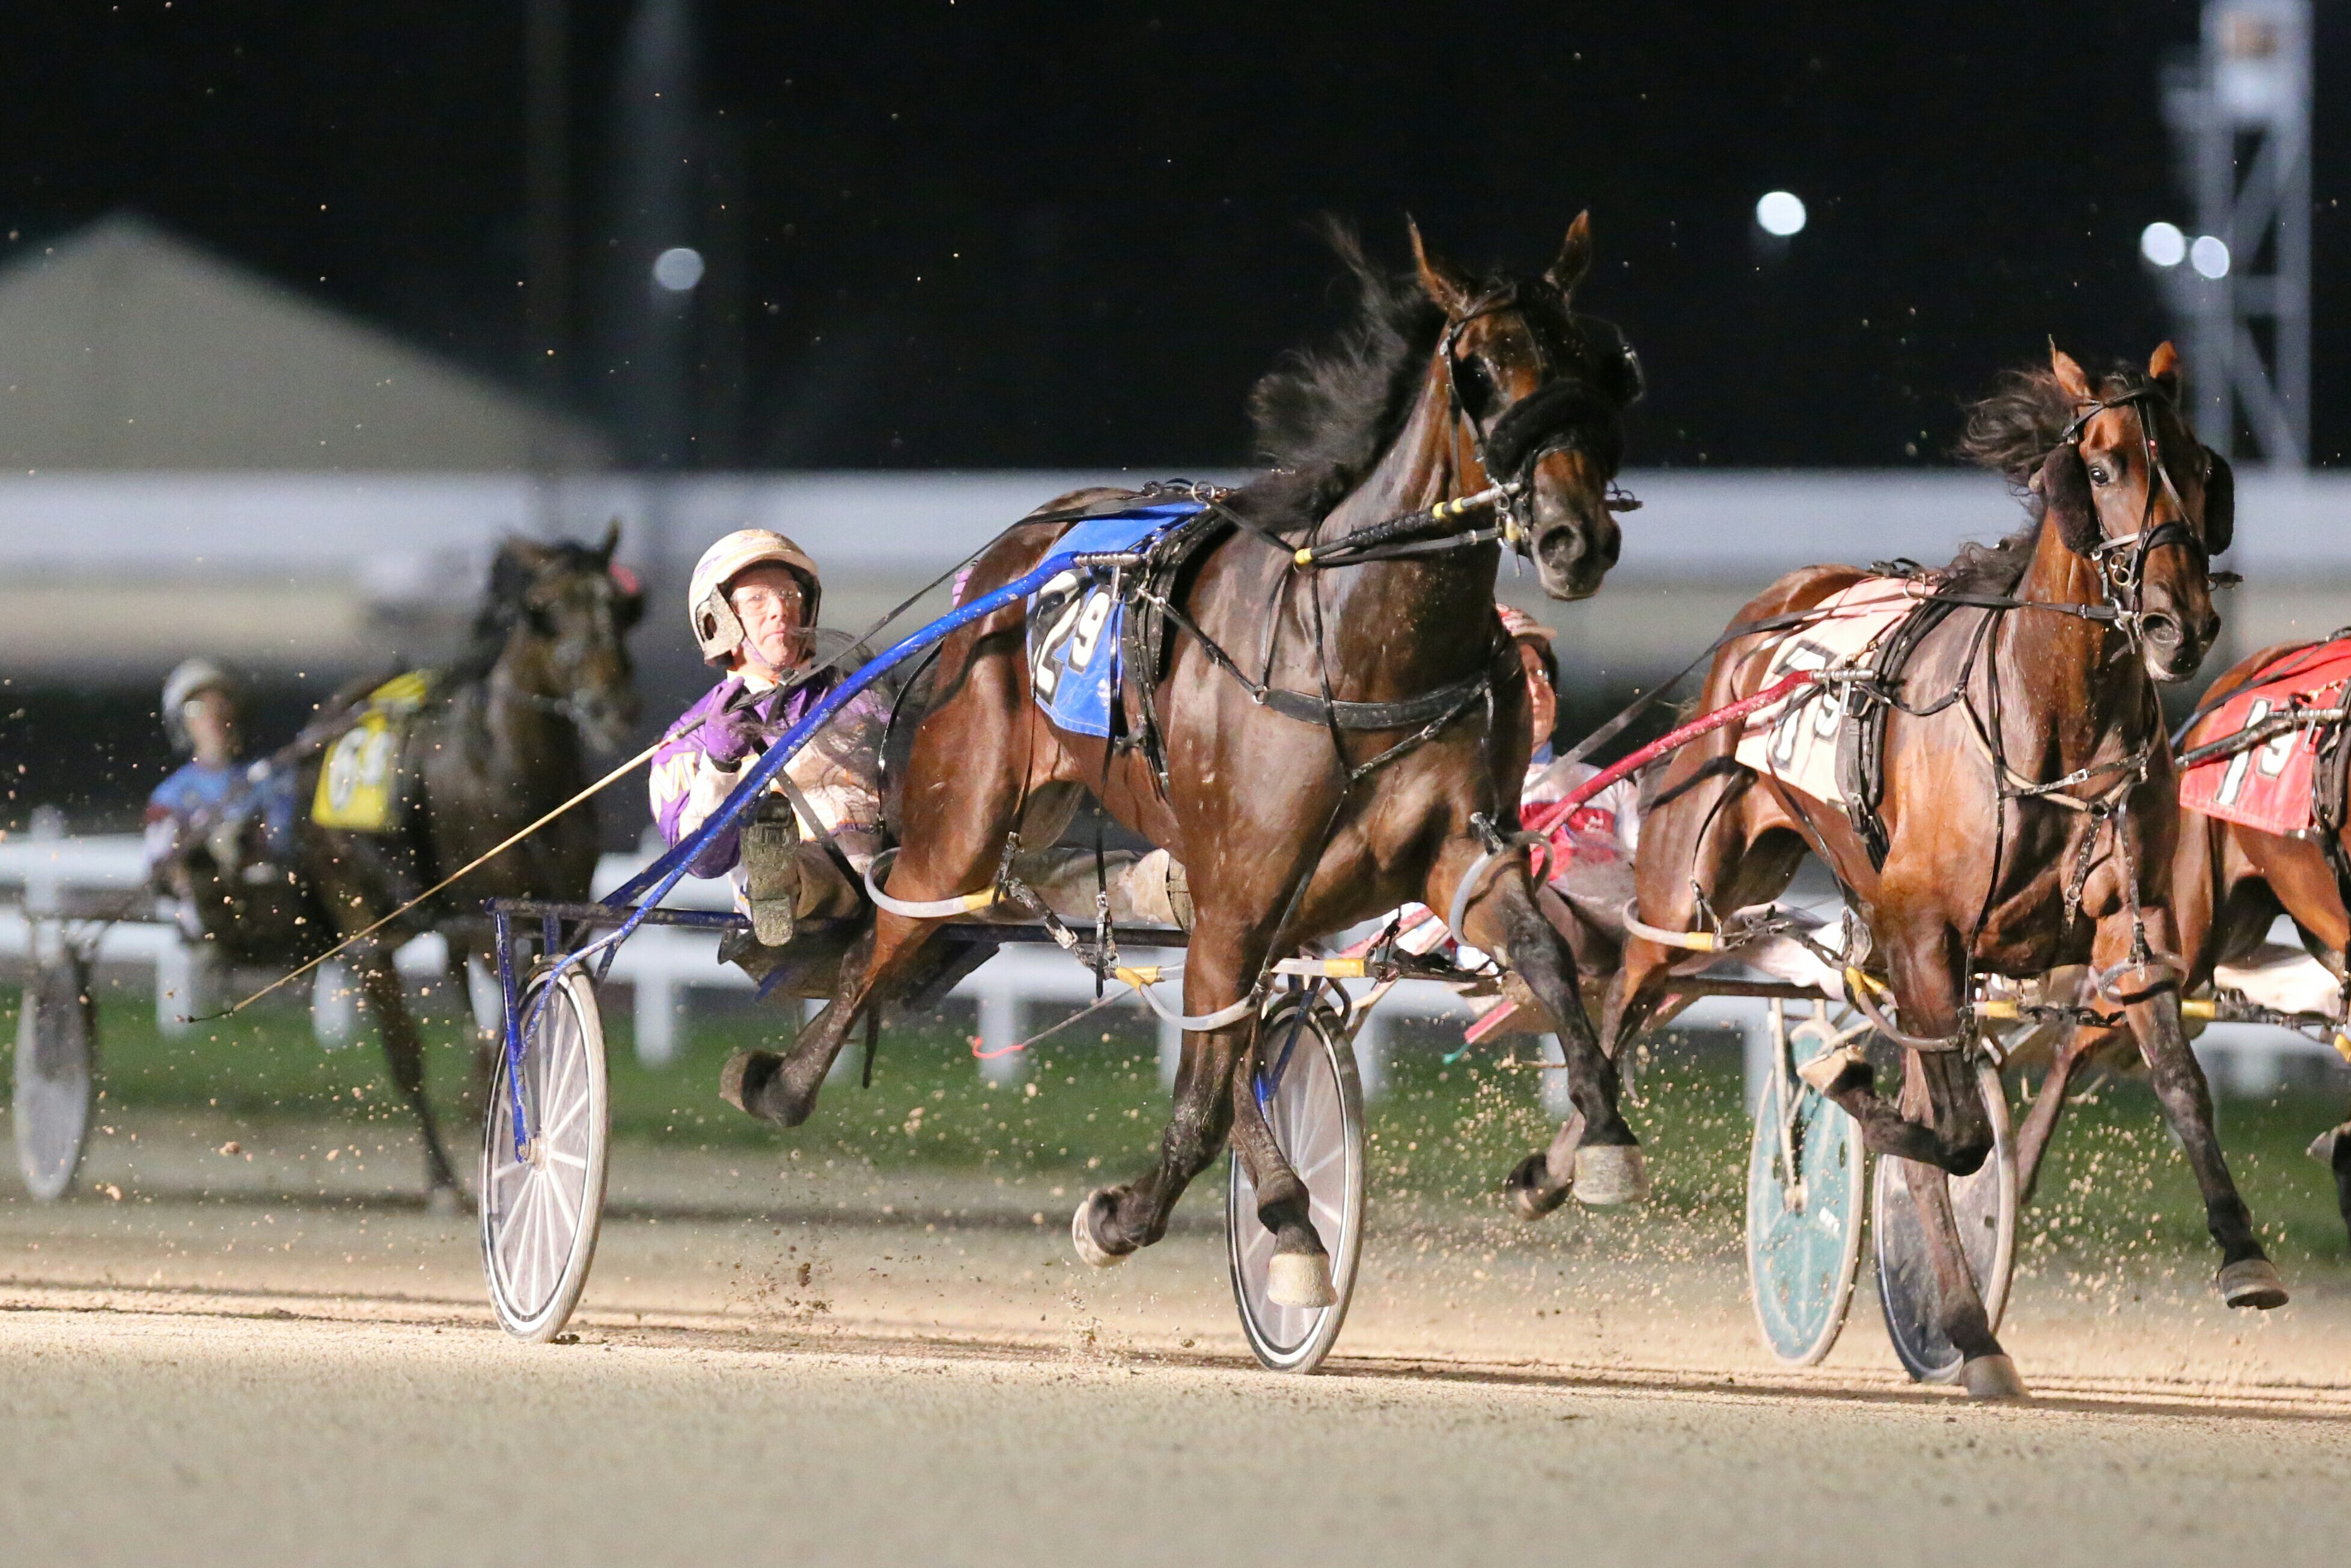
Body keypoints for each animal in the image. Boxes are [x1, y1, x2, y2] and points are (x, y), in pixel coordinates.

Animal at [298, 533, 639, 1213]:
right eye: (545, 610)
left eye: (620, 605)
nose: (611, 708)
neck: (519, 774)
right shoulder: (488, 920)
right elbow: (499, 1036)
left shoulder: (564, 911)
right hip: (361, 918)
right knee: (405, 1055)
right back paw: (442, 1178)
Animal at [719, 215, 1655, 1307]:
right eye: (1485, 367)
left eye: (1602, 363)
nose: (1575, 536)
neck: (1358, 643)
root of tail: (1018, 546)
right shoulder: (1242, 886)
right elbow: (1205, 1082)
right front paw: (1125, 1215)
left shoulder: (1454, 853)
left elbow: (1545, 959)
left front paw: (1592, 1140)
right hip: (969, 810)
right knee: (898, 927)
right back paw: (780, 1081)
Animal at [1608, 345, 2266, 1401]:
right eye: (2104, 466)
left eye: (2204, 467)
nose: (2182, 625)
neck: (2049, 716)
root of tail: (1781, 604)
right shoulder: (1924, 933)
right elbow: (1947, 1138)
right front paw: (1846, 1088)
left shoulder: (2132, 922)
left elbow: (2176, 1081)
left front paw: (2243, 1251)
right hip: (1695, 881)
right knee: (1622, 985)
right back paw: (1580, 1154)